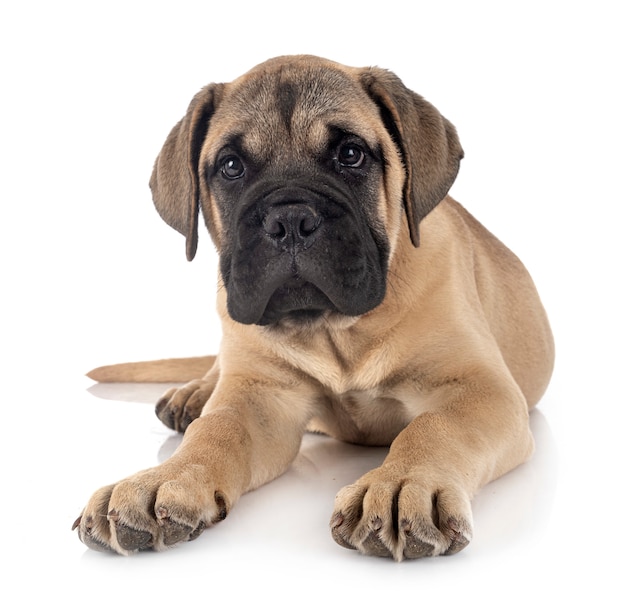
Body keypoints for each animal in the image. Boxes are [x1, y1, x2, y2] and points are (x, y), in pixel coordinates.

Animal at [74, 55, 552, 560]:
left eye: (350, 154)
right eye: (230, 166)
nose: (289, 220)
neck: (335, 330)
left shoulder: (481, 388)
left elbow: (434, 426)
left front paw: (403, 484)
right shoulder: (260, 396)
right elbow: (217, 430)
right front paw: (162, 479)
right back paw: (196, 393)